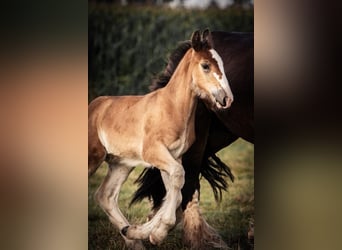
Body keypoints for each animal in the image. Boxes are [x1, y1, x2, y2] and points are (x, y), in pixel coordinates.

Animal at [87, 30, 234, 249]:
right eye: (206, 65)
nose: (227, 99)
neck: (172, 106)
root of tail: (94, 106)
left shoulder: (173, 157)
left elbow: (176, 192)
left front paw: (146, 233)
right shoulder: (154, 153)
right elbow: (178, 181)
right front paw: (156, 233)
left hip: (121, 163)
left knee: (105, 196)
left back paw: (133, 240)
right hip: (92, 158)